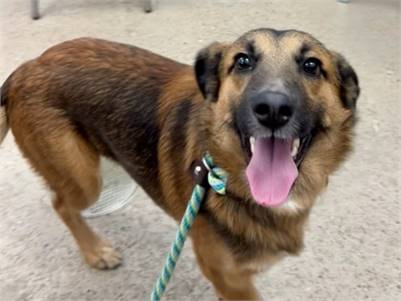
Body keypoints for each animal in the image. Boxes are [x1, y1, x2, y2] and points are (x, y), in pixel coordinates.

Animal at [0, 28, 356, 300]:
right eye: (242, 61)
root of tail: (27, 67)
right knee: (61, 204)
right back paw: (95, 252)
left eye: (312, 65)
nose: (272, 108)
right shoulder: (229, 278)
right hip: (85, 180)